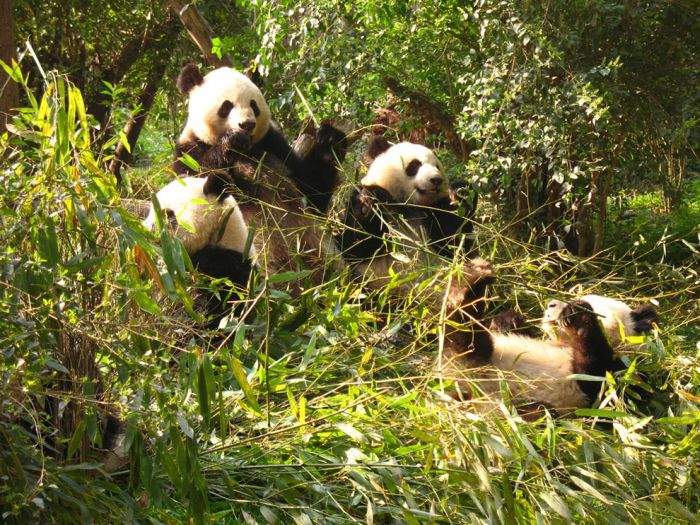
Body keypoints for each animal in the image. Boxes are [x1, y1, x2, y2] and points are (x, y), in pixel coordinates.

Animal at [169, 63, 344, 292]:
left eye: (253, 105)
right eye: (226, 106)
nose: (247, 124)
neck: (247, 151)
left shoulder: (274, 147)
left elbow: (311, 191)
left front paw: (330, 139)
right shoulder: (189, 151)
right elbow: (199, 180)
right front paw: (231, 141)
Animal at [338, 135, 476, 290]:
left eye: (437, 166)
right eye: (415, 165)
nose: (436, 179)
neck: (408, 205)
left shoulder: (433, 210)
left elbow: (454, 245)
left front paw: (462, 193)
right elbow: (354, 246)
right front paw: (367, 204)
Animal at [438, 262, 628, 414]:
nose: (551, 304)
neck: (565, 345)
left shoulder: (615, 377)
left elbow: (599, 386)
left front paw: (579, 315)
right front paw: (509, 320)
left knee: (538, 414)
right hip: (476, 358)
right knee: (465, 332)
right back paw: (472, 280)